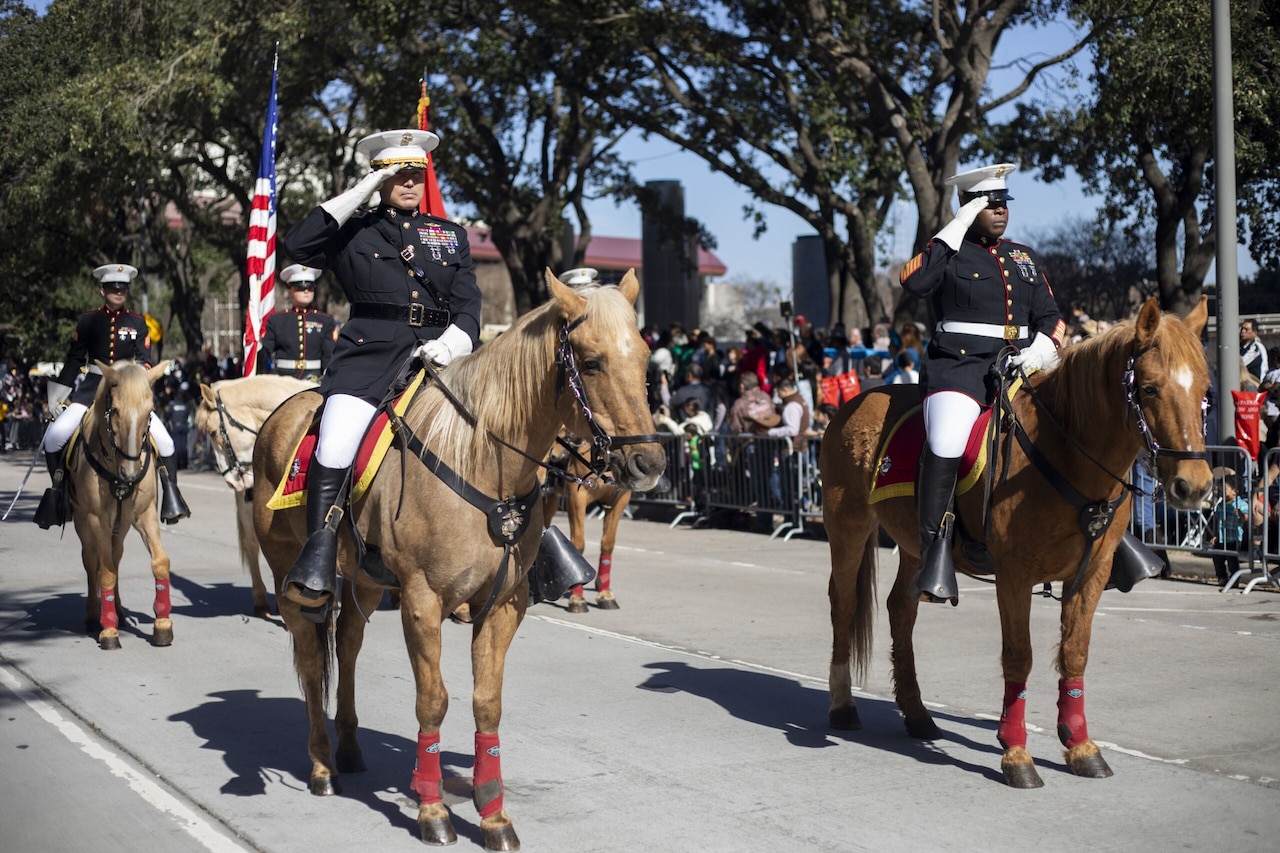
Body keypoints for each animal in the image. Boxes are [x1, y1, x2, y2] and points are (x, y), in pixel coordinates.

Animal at [67, 360, 174, 650]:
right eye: (114, 410)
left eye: (150, 411)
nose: (130, 473)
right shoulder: (97, 521)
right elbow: (104, 572)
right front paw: (108, 630)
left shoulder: (145, 515)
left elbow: (160, 562)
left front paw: (163, 623)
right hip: (84, 524)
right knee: (92, 561)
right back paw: (95, 616)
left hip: (122, 526)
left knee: (114, 559)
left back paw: (118, 611)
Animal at [252, 270, 665, 848]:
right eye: (592, 361)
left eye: (645, 357)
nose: (648, 463)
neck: (482, 461)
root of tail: (282, 411)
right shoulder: (422, 602)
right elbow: (434, 700)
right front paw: (432, 810)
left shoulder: (504, 605)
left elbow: (486, 702)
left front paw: (493, 814)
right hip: (291, 576)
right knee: (313, 662)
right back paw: (321, 766)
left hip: (365, 583)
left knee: (348, 647)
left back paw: (350, 748)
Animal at [820, 297, 1212, 788]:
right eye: (1150, 388)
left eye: (1205, 390)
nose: (1194, 486)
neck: (1065, 454)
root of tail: (855, 401)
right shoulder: (1014, 574)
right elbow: (1018, 656)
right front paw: (1016, 752)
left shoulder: (1092, 573)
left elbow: (1075, 653)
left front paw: (1080, 745)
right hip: (847, 526)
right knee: (844, 605)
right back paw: (842, 705)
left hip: (914, 545)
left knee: (901, 610)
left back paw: (917, 713)